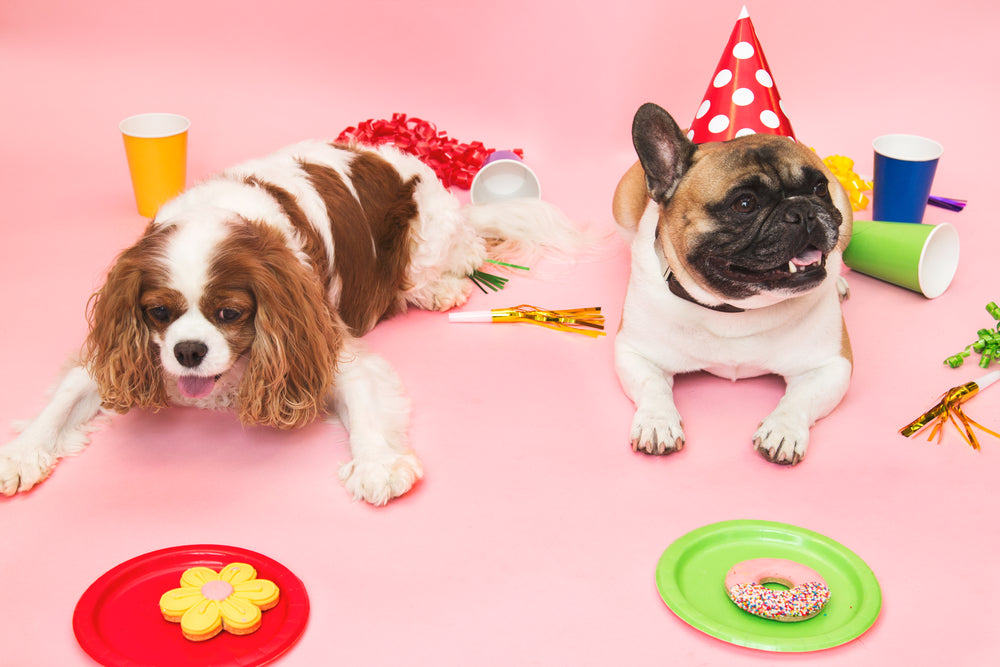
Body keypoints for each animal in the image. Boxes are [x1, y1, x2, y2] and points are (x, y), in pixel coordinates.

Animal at [0, 142, 580, 506]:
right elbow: (67, 393)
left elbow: (366, 403)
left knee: (460, 255)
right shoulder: (118, 350)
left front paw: (377, 464)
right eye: (159, 313)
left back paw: (440, 288)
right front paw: (22, 452)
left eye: (229, 313)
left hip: (426, 239)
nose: (187, 351)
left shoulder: (320, 340)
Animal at [612, 104, 856, 468]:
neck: (735, 309)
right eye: (744, 204)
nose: (803, 210)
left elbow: (801, 398)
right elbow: (652, 384)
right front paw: (658, 423)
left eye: (818, 188)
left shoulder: (830, 365)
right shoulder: (635, 352)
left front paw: (782, 430)